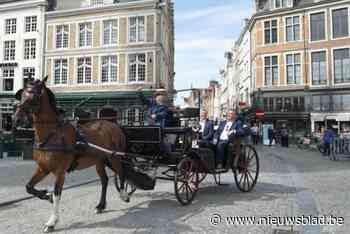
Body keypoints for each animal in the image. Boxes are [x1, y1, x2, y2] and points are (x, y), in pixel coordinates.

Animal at [13, 77, 131, 232]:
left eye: (34, 96)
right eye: (21, 95)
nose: (16, 119)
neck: (52, 135)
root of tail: (114, 125)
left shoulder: (60, 172)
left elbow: (57, 194)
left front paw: (52, 222)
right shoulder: (43, 168)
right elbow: (29, 187)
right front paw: (46, 195)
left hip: (114, 157)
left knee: (122, 173)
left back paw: (124, 195)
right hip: (99, 161)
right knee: (104, 181)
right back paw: (100, 205)